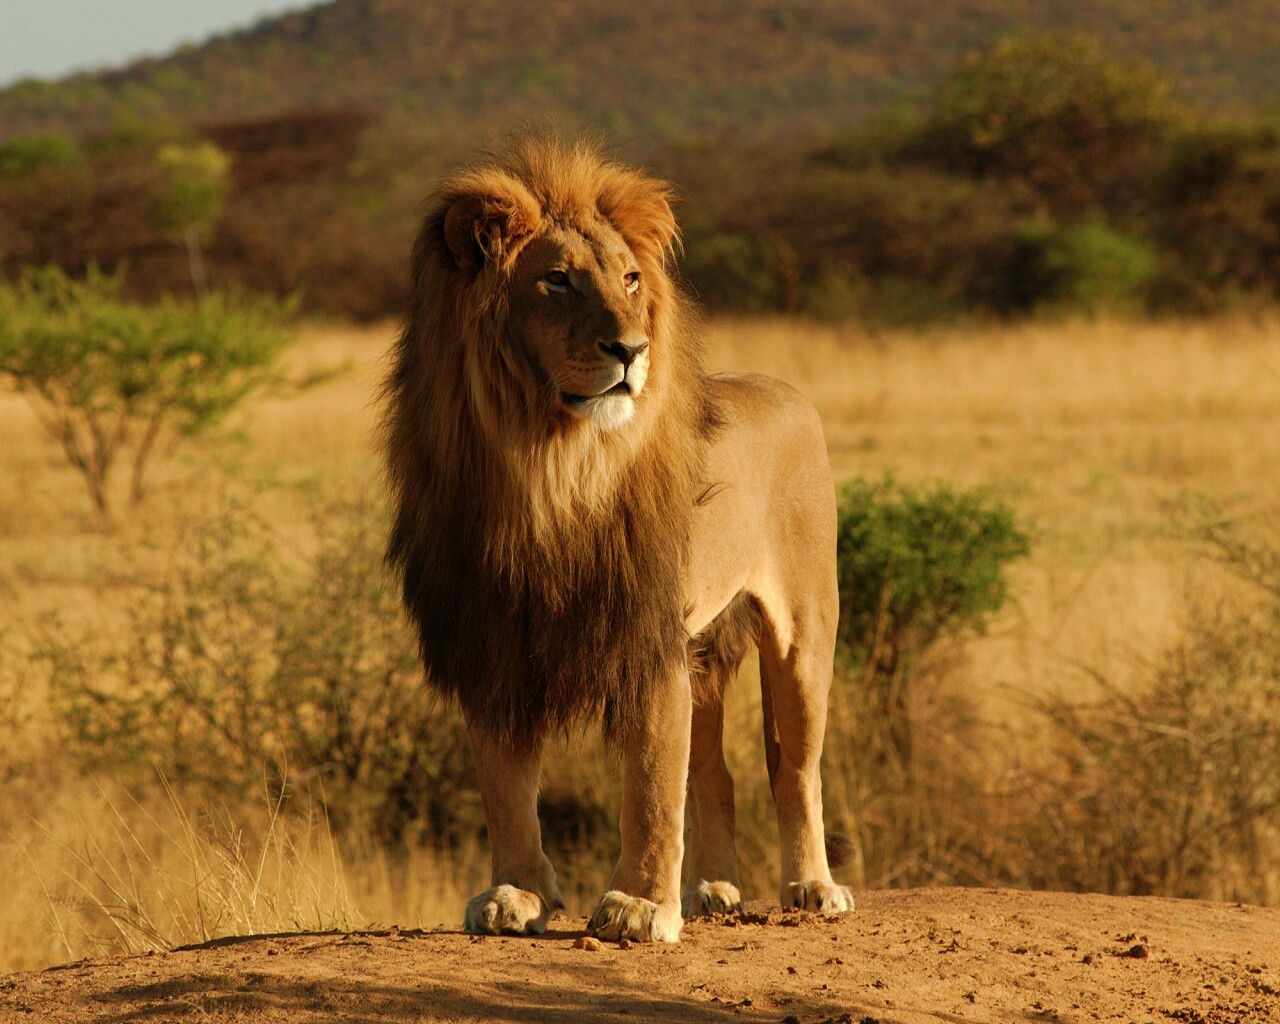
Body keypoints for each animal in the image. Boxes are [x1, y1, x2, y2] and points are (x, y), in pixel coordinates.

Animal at [384, 135, 855, 942]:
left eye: (631, 279)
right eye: (557, 281)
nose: (631, 349)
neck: (549, 466)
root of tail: (786, 390)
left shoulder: (646, 635)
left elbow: (651, 783)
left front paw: (638, 906)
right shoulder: (492, 637)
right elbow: (505, 783)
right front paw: (516, 894)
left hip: (802, 631)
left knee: (794, 766)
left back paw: (812, 887)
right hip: (706, 650)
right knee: (715, 771)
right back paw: (713, 890)